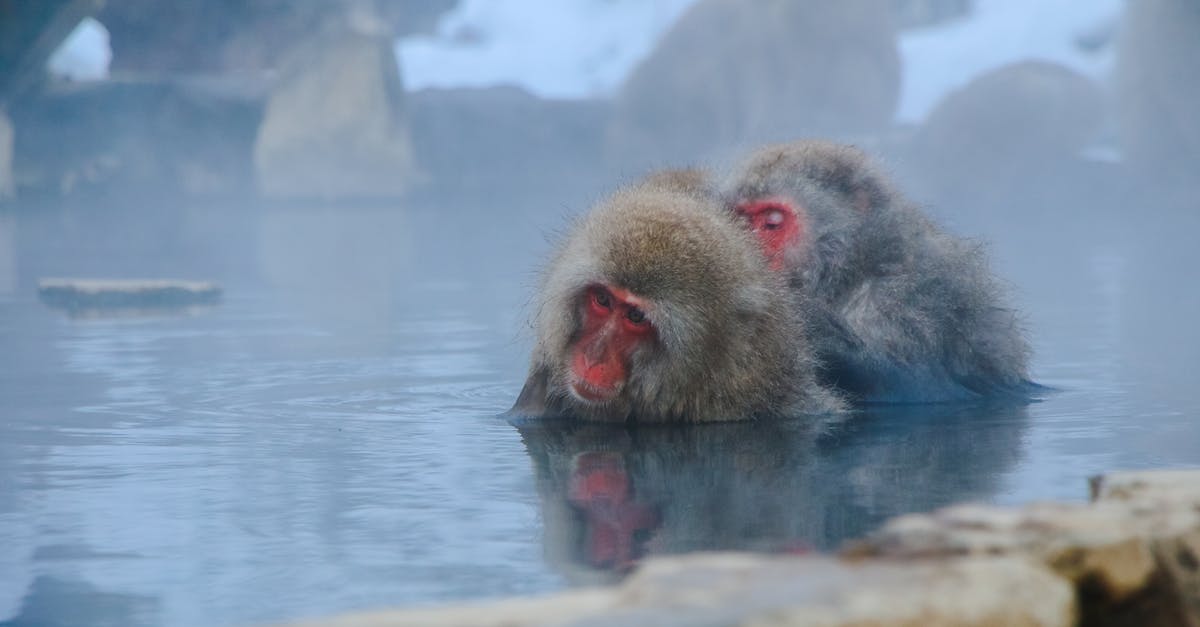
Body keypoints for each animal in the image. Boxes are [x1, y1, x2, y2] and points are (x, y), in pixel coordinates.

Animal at [720, 139, 1032, 401]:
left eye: (772, 222)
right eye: (741, 219)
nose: (748, 251)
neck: (852, 268)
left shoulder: (904, 299)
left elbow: (914, 385)